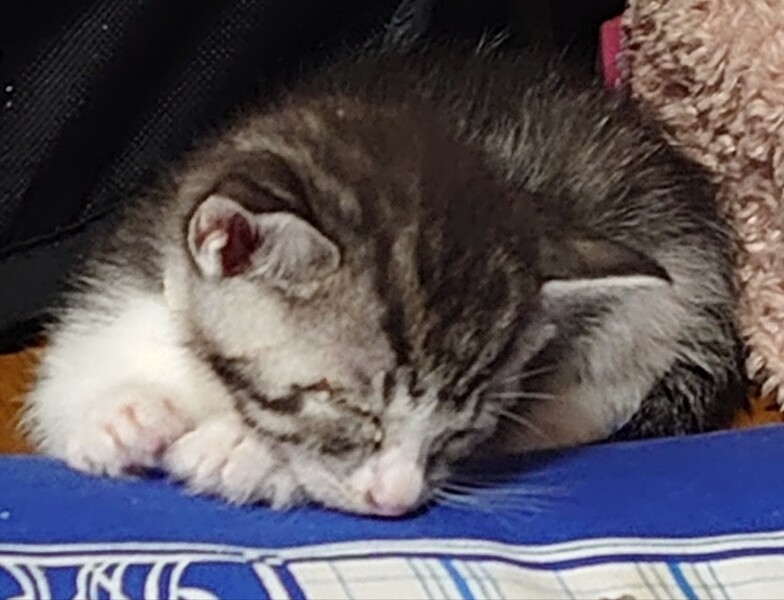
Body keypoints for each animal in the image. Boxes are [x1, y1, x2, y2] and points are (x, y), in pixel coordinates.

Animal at [23, 43, 745, 516]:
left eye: (461, 430)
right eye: (350, 409)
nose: (398, 502)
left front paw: (243, 454)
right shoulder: (136, 266)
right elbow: (67, 384)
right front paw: (118, 415)